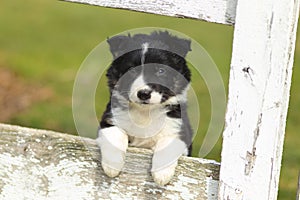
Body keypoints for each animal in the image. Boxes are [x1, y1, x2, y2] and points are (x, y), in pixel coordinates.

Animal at [97, 31, 193, 186]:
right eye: (131, 70)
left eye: (161, 71)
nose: (143, 94)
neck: (144, 113)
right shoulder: (109, 119)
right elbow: (116, 133)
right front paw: (112, 167)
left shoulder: (180, 131)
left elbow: (167, 144)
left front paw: (161, 175)